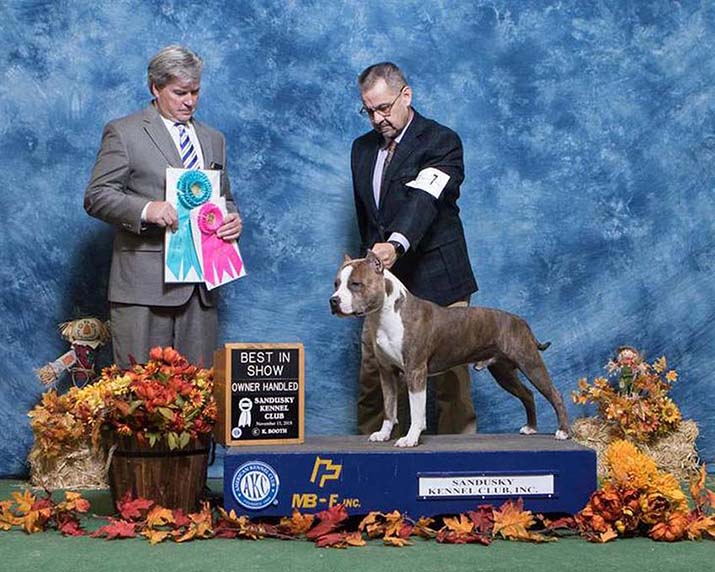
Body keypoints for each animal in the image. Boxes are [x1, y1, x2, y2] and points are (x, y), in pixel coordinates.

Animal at [330, 252, 572, 450]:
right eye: (336, 284)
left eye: (356, 284)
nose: (333, 301)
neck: (385, 314)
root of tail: (521, 321)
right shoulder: (386, 372)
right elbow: (389, 407)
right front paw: (383, 434)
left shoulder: (415, 371)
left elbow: (417, 410)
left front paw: (410, 439)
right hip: (503, 372)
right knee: (527, 394)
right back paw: (530, 427)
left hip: (529, 362)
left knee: (554, 394)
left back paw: (563, 432)